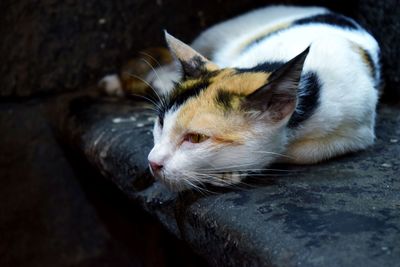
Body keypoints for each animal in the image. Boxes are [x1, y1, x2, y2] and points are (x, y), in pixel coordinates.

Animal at [103, 5, 382, 192]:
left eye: (197, 138)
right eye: (160, 123)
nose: (153, 162)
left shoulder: (358, 131)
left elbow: (295, 151)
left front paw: (231, 172)